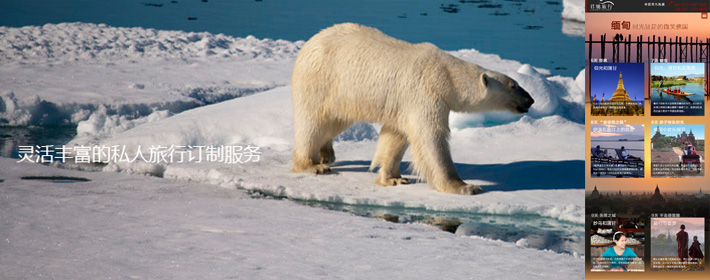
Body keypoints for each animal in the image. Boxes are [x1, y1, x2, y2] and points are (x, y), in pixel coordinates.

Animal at [290, 23, 536, 195]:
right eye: (514, 86)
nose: (531, 100)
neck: (445, 74)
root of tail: (309, 43)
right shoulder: (425, 93)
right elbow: (431, 138)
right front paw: (465, 186)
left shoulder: (404, 104)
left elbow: (396, 136)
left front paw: (393, 178)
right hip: (321, 81)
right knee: (314, 123)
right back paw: (313, 165)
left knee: (335, 122)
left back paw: (326, 154)